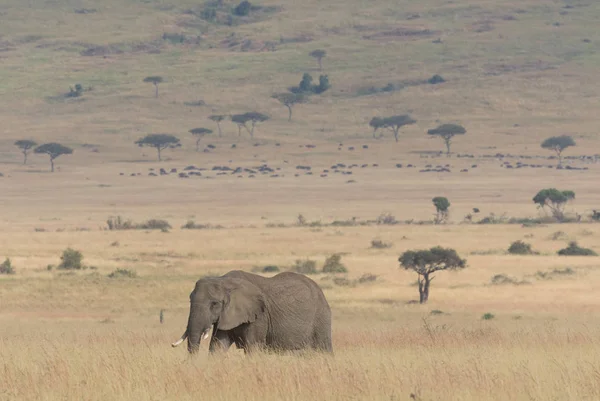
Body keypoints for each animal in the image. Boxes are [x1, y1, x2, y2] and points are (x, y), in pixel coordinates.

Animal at [171, 268, 332, 354]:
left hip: (321, 317)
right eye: (190, 300)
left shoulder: (259, 316)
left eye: (214, 304)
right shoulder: (227, 315)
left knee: (324, 348)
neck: (224, 281)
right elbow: (218, 346)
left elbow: (252, 348)